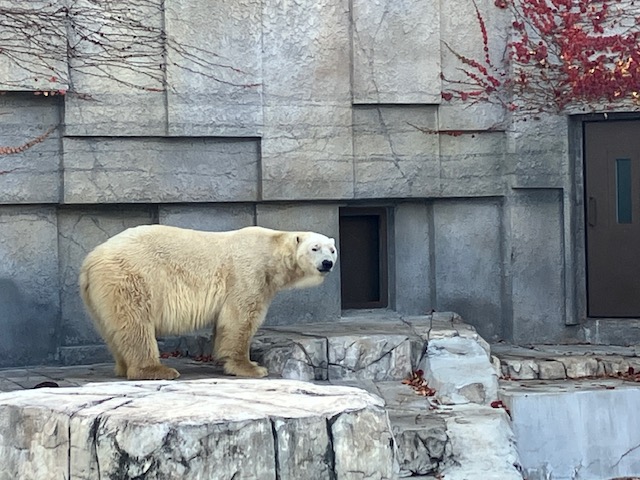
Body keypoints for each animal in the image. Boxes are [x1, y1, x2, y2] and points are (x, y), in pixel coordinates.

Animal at [79, 225, 338, 378]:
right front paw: (251, 367)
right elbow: (239, 318)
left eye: (332, 249)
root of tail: (90, 260)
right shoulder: (248, 272)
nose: (327, 263)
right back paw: (157, 369)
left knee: (114, 329)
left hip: (100, 295)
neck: (271, 250)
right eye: (315, 248)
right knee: (136, 323)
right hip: (131, 277)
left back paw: (124, 367)